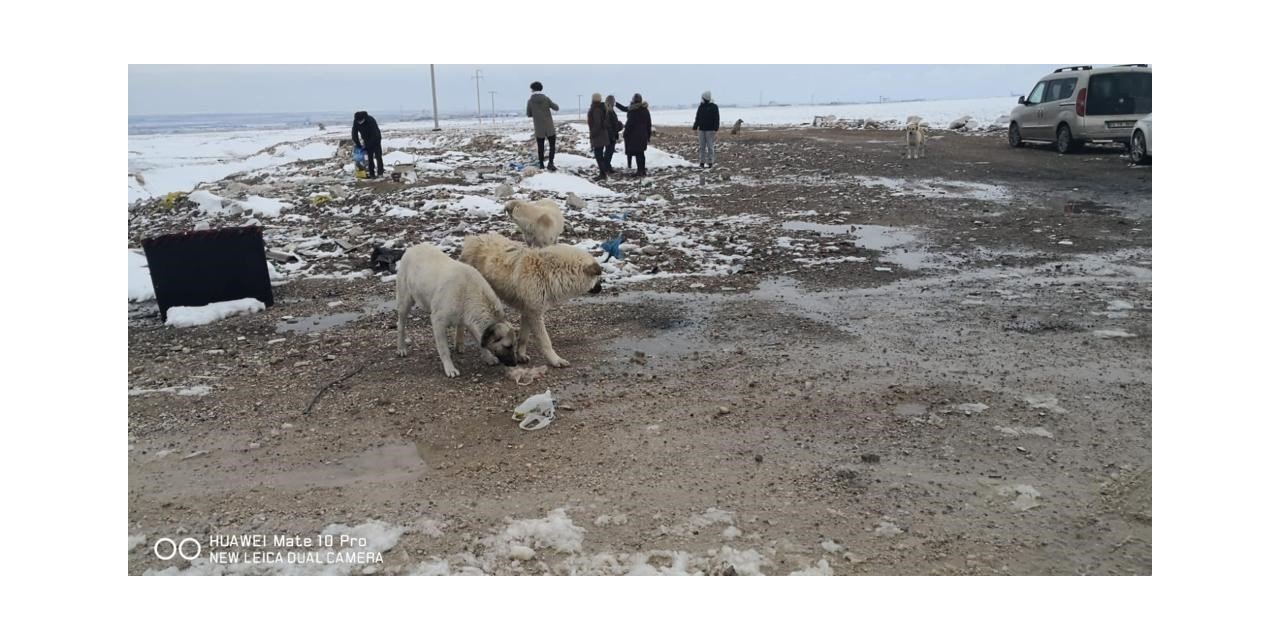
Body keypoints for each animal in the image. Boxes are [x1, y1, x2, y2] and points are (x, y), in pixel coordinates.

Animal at [396, 241, 522, 376]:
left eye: (515, 345)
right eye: (507, 346)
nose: (515, 364)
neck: (469, 292)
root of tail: (413, 247)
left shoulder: (471, 321)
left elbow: (479, 341)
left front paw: (488, 357)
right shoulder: (438, 322)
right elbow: (444, 349)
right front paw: (450, 368)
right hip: (404, 302)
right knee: (401, 325)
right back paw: (401, 348)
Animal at [458, 232, 601, 368]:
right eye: (598, 278)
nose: (600, 288)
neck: (549, 271)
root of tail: (471, 240)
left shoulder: (528, 312)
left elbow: (524, 337)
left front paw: (521, 355)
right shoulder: (535, 315)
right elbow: (546, 342)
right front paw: (556, 360)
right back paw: (460, 345)